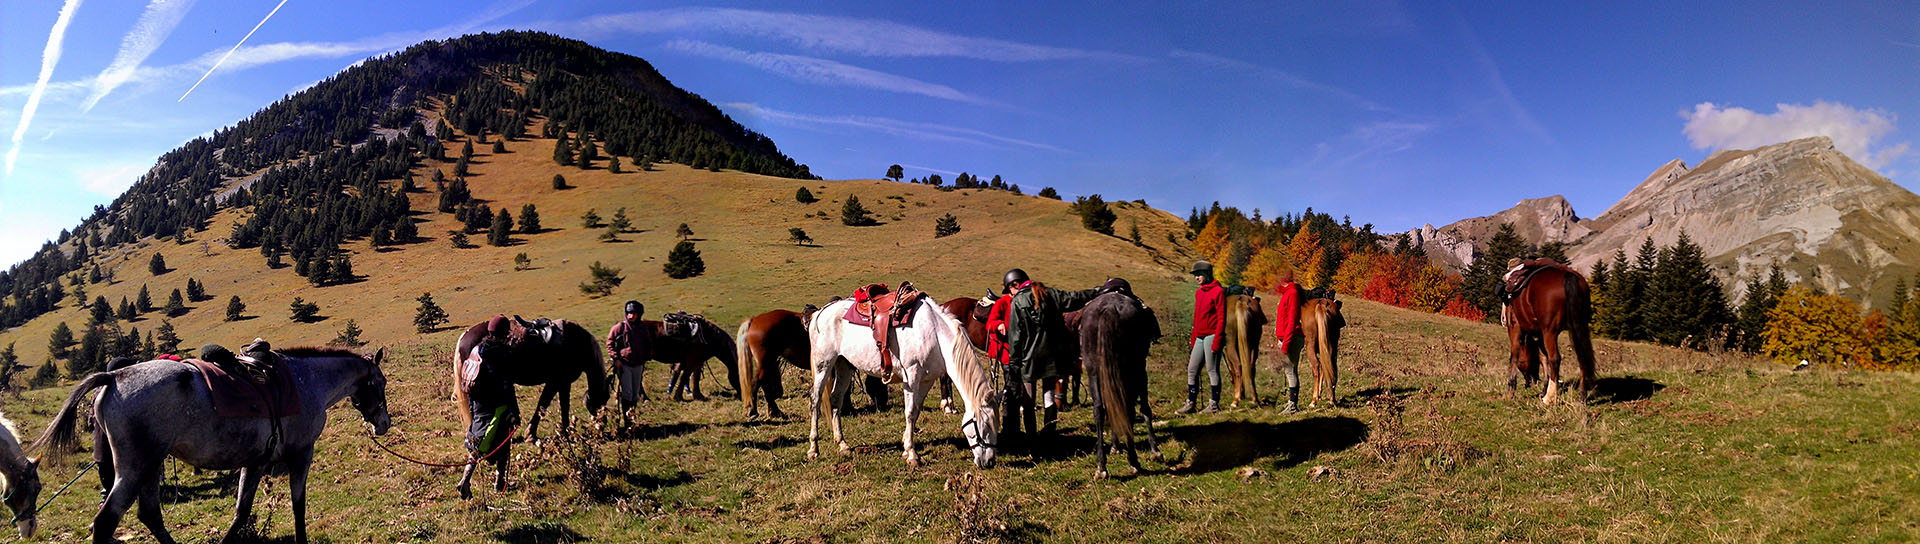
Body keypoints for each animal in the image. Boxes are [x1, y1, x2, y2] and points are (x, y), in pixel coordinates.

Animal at [453, 317, 602, 442]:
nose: (600, 425)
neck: (576, 342)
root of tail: (463, 337)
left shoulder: (559, 383)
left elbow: (550, 405)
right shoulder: (559, 382)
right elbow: (550, 405)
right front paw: (564, 433)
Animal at [806, 296, 1006, 470]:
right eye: (985, 425)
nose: (989, 462)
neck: (934, 333)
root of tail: (820, 313)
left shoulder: (926, 380)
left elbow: (916, 411)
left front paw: (905, 447)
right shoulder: (911, 375)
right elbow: (909, 413)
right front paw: (912, 455)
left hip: (844, 366)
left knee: (836, 400)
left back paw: (843, 445)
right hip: (823, 364)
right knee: (816, 400)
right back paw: (813, 449)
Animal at [1075, 292, 1159, 480]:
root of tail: (1109, 308)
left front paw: (1115, 446)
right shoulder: (1140, 372)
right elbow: (1144, 408)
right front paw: (1155, 451)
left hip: (1094, 372)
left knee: (1099, 410)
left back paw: (1101, 467)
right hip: (1133, 368)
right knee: (1128, 409)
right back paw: (1133, 461)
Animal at [1505, 265, 1597, 405]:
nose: (1529, 383)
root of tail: (1568, 276)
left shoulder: (1515, 327)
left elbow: (1514, 356)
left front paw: (1511, 391)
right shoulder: (1540, 334)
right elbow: (1543, 358)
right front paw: (1544, 388)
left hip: (1550, 331)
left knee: (1555, 358)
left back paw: (1549, 398)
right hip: (1579, 326)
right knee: (1582, 357)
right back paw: (1582, 396)